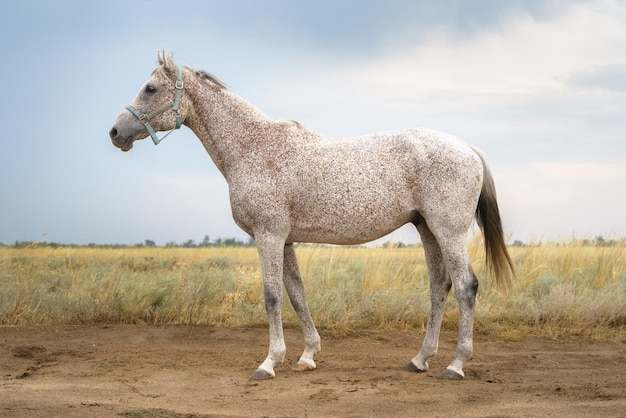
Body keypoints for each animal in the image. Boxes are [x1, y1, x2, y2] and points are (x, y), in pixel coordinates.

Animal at [109, 50, 516, 380]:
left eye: (150, 88)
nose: (115, 132)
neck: (253, 148)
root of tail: (468, 148)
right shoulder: (285, 239)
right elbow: (297, 294)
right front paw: (307, 355)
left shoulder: (269, 235)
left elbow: (272, 295)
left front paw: (269, 362)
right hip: (427, 230)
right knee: (438, 287)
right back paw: (420, 359)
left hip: (448, 231)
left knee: (465, 286)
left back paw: (456, 364)